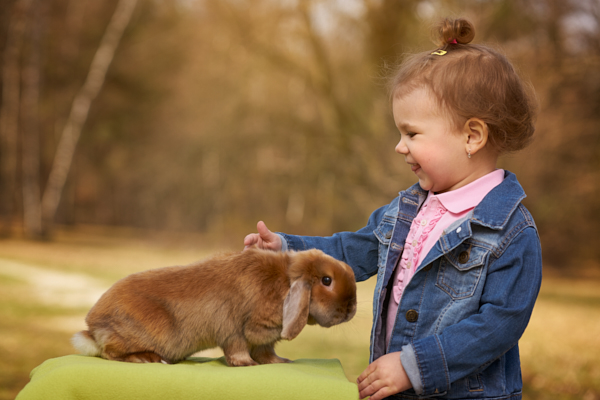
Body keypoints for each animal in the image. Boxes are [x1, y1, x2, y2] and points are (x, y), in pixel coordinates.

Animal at [71, 248, 356, 368]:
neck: (285, 282)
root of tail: (92, 327)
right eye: (327, 280)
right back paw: (147, 358)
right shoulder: (236, 331)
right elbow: (238, 349)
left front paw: (281, 362)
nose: (351, 310)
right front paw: (246, 365)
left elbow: (267, 353)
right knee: (109, 352)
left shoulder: (265, 340)